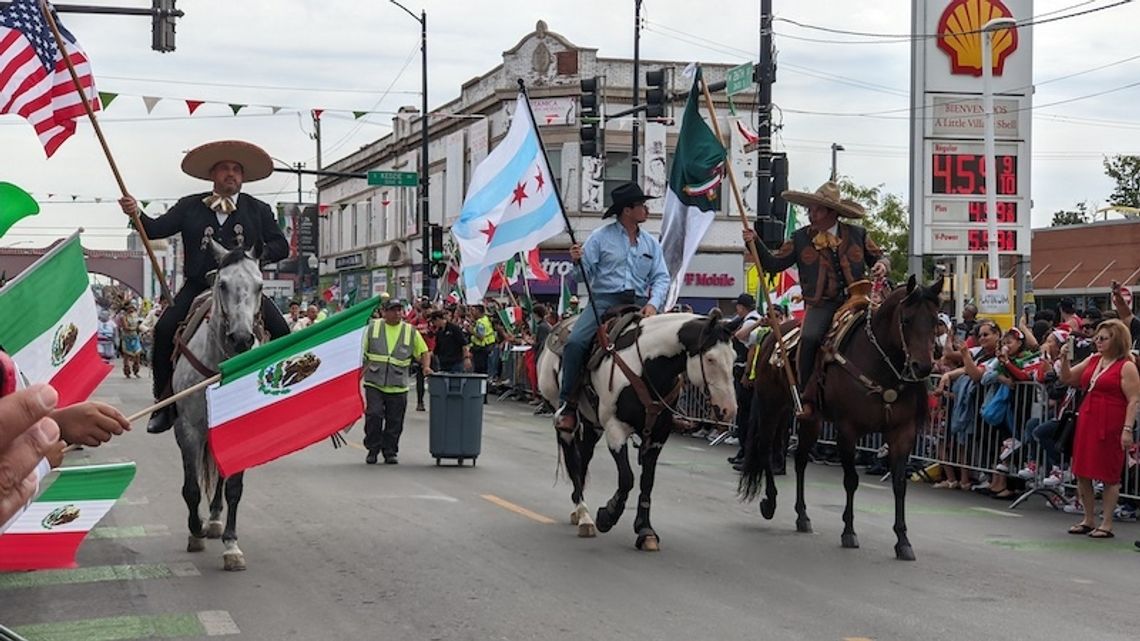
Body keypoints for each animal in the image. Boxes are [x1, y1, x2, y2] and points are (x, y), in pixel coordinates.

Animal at [171, 239, 262, 568]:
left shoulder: (241, 428)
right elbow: (191, 488)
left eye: (260, 285)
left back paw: (214, 519)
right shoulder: (188, 430)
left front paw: (231, 545)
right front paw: (194, 531)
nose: (242, 338)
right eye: (222, 284)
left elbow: (234, 487)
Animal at [738, 274, 943, 558]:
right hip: (772, 406)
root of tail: (771, 336)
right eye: (907, 320)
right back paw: (770, 502)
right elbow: (851, 480)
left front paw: (903, 541)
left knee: (800, 460)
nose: (922, 367)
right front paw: (849, 531)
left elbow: (900, 484)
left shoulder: (903, 432)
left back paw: (802, 516)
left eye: (935, 321)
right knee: (766, 449)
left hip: (811, 420)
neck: (880, 364)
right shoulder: (848, 429)